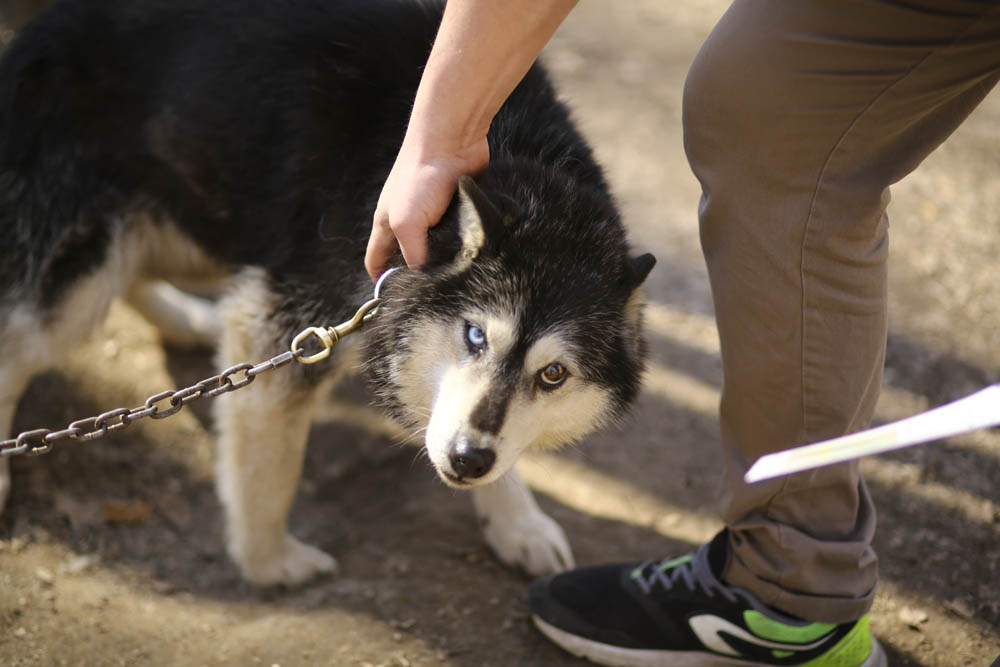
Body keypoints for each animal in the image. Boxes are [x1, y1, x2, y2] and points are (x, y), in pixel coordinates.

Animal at [0, 0, 652, 584]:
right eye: (474, 337)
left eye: (553, 375)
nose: (468, 461)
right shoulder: (282, 319)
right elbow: (272, 466)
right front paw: (269, 562)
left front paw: (518, 522)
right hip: (82, 268)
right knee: (25, 337)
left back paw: (185, 320)